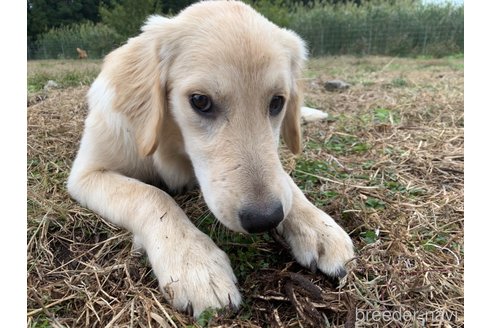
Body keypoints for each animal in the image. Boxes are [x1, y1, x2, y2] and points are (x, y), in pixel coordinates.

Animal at [68, 0, 354, 318]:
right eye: (200, 101)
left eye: (277, 102)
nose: (265, 219)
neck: (172, 145)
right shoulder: (87, 174)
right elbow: (151, 195)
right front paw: (195, 263)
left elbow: (285, 181)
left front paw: (316, 224)